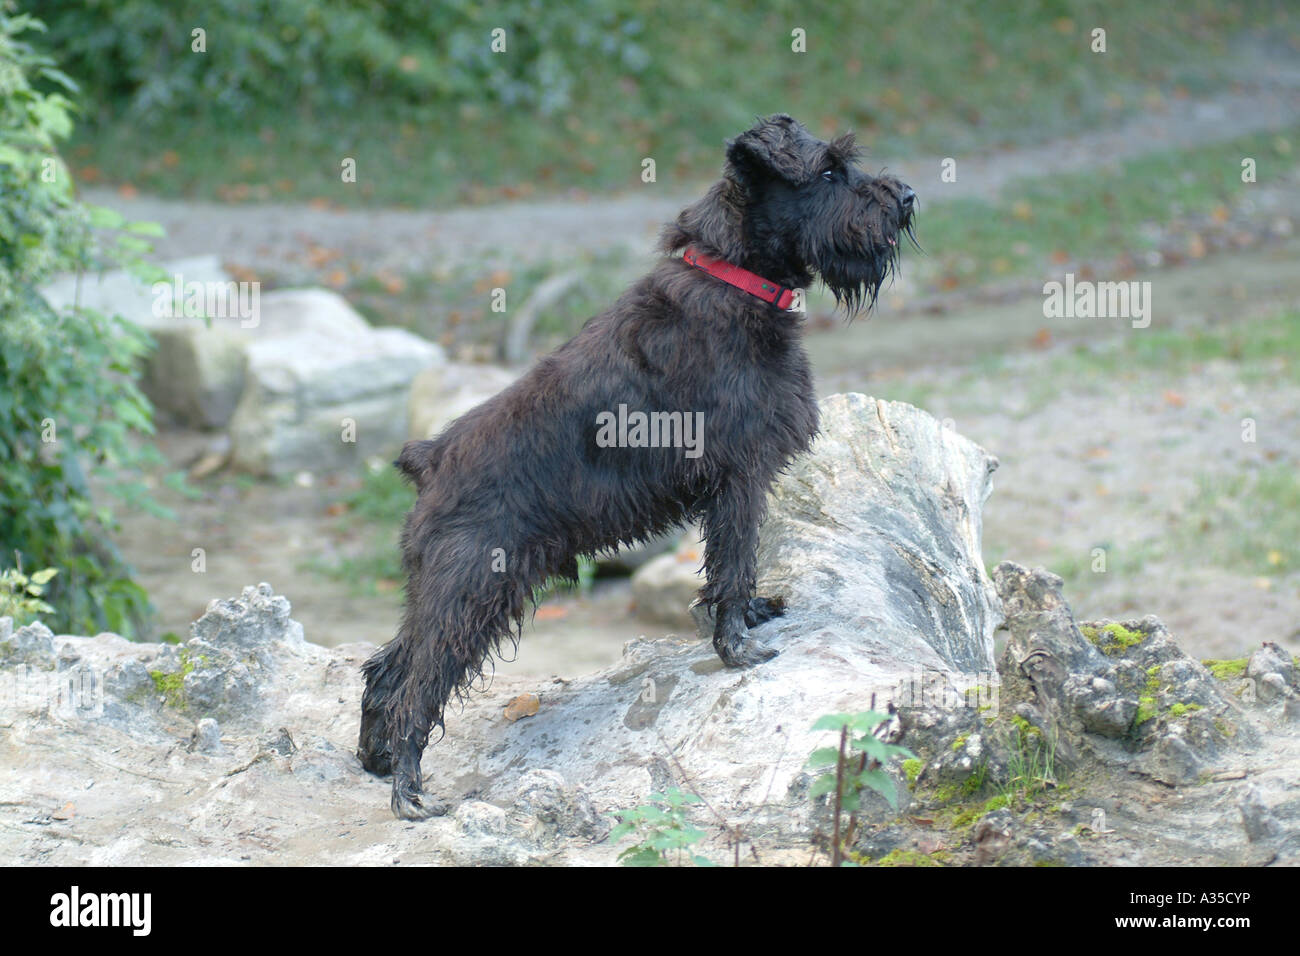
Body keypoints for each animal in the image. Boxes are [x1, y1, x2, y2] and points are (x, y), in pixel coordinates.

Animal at [361, 111, 920, 816]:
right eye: (826, 172)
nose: (908, 197)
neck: (734, 277)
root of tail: (429, 458)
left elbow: (735, 563)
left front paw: (750, 616)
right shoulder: (739, 475)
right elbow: (733, 561)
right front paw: (738, 646)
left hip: (446, 589)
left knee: (388, 668)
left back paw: (376, 761)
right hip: (472, 588)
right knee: (420, 682)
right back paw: (409, 789)